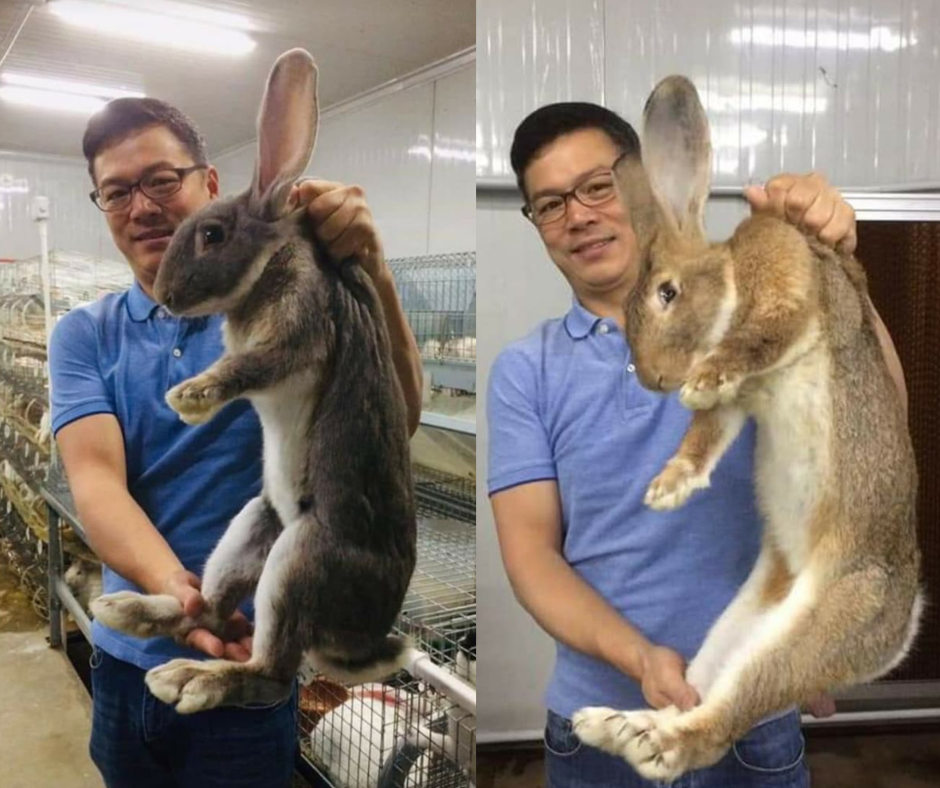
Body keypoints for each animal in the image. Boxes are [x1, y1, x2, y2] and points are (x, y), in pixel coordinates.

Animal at [571, 75, 922, 782]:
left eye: (667, 294)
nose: (656, 381)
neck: (728, 276)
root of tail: (902, 630)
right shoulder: (739, 406)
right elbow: (707, 434)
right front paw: (669, 488)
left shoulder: (782, 283)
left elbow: (764, 333)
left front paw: (699, 387)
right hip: (737, 626)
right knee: (705, 695)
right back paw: (615, 726)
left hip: (827, 624)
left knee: (723, 720)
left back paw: (650, 744)